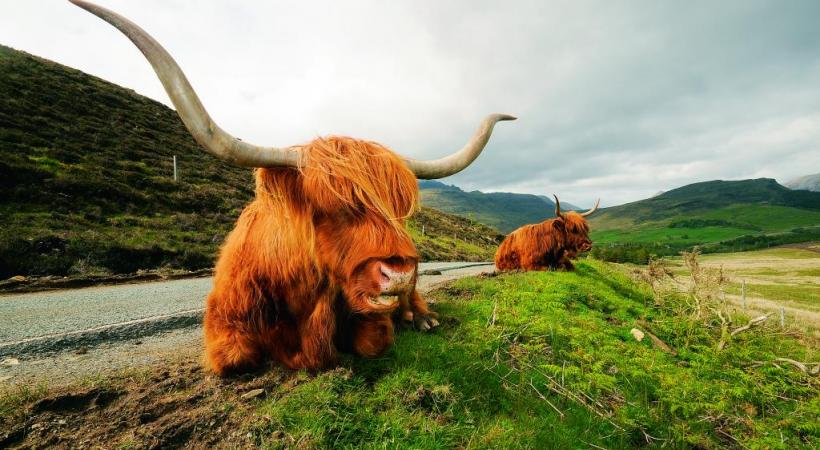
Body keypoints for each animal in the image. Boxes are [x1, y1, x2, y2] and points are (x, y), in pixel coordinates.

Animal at [73, 0, 516, 376]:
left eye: (398, 209)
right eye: (329, 205)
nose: (400, 272)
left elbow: (372, 342)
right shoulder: (224, 330)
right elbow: (236, 360)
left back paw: (421, 317)